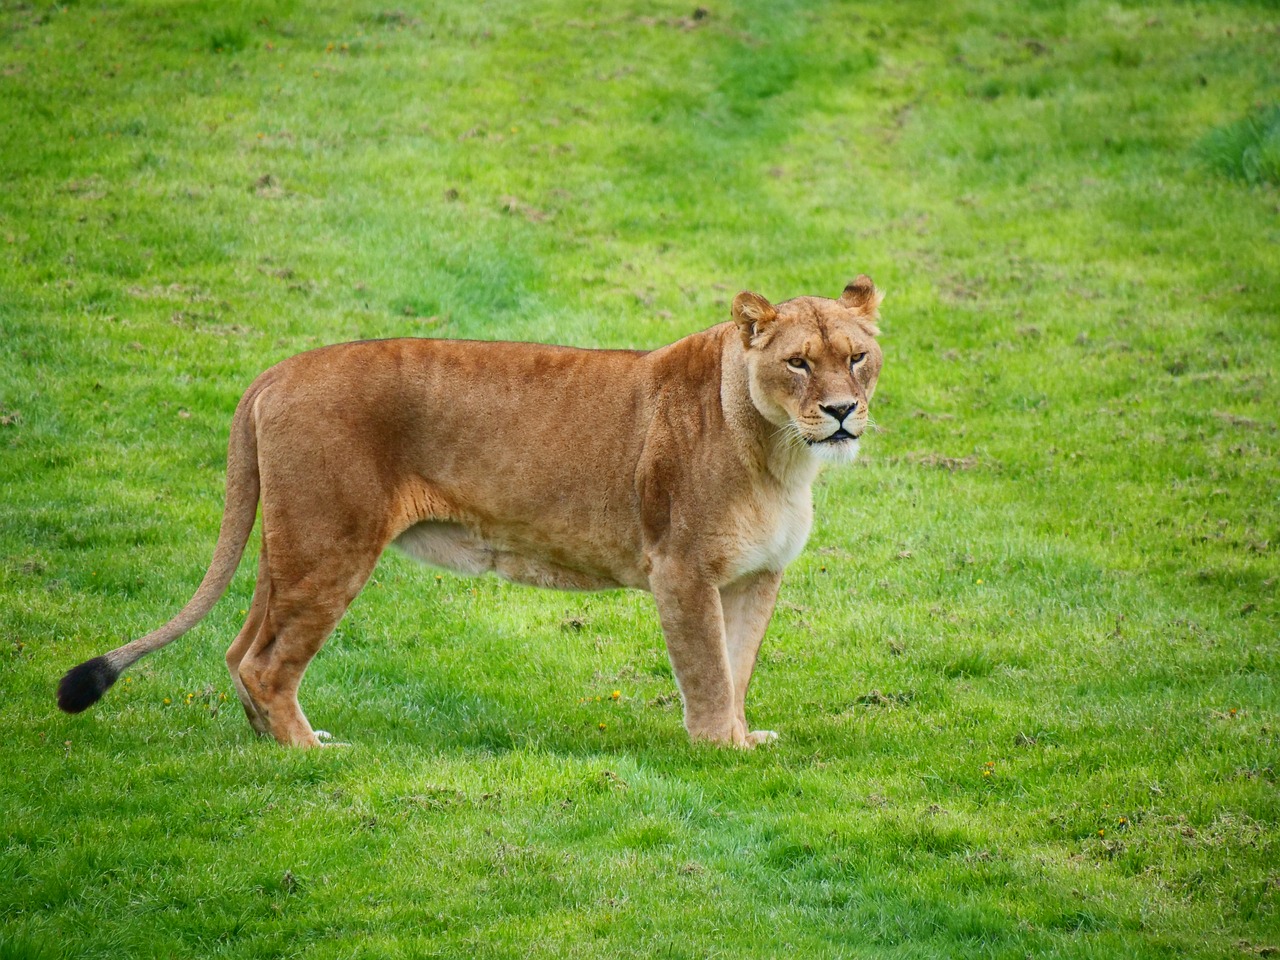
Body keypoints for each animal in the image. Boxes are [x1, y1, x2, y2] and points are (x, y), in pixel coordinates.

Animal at [55, 273, 885, 747]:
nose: (843, 412)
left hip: (289, 547)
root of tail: (278, 370)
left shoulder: (754, 577)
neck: (781, 455)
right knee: (264, 663)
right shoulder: (681, 570)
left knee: (239, 649)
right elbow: (709, 670)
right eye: (798, 363)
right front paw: (721, 752)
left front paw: (746, 740)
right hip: (331, 543)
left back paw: (273, 745)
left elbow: (738, 667)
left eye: (858, 357)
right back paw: (309, 755)